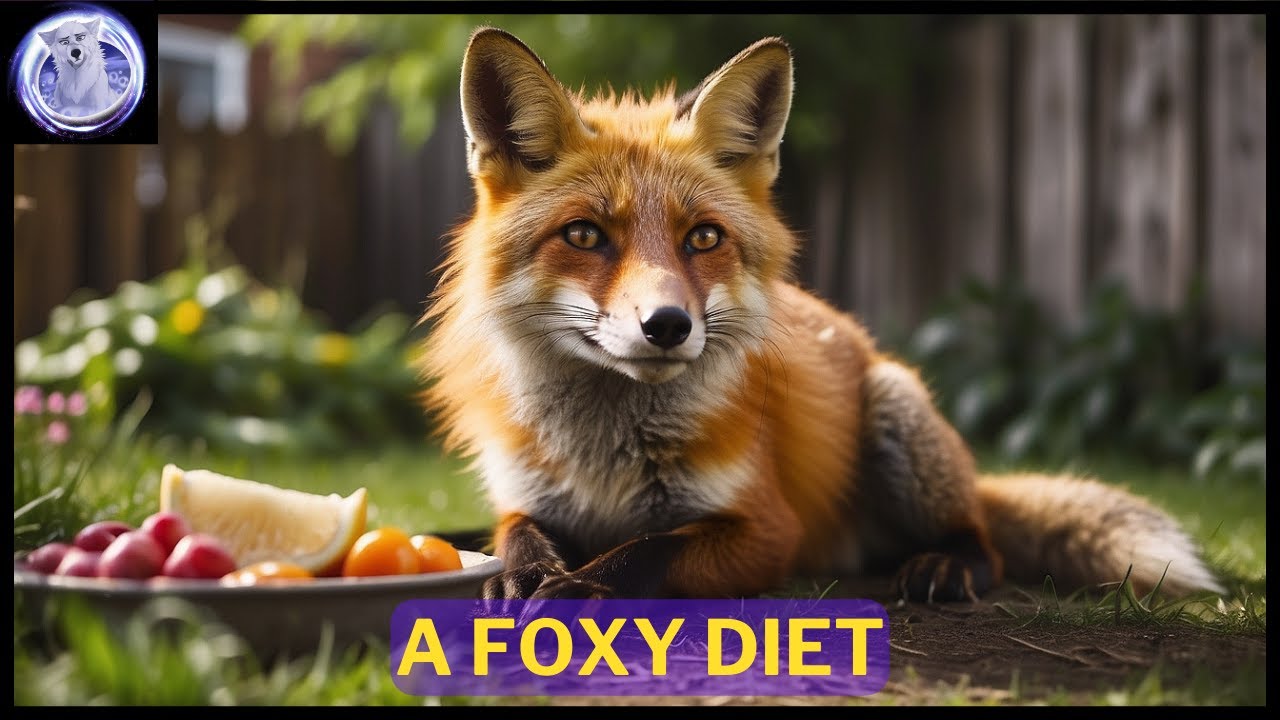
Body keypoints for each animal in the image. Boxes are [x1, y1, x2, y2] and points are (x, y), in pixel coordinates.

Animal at [421, 27, 1225, 602]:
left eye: (703, 238)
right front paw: (523, 574)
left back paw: (943, 567)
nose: (669, 325)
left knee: (987, 544)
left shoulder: (767, 530)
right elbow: (515, 538)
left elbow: (646, 552)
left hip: (899, 420)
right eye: (585, 235)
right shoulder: (526, 499)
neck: (604, 460)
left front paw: (577, 589)